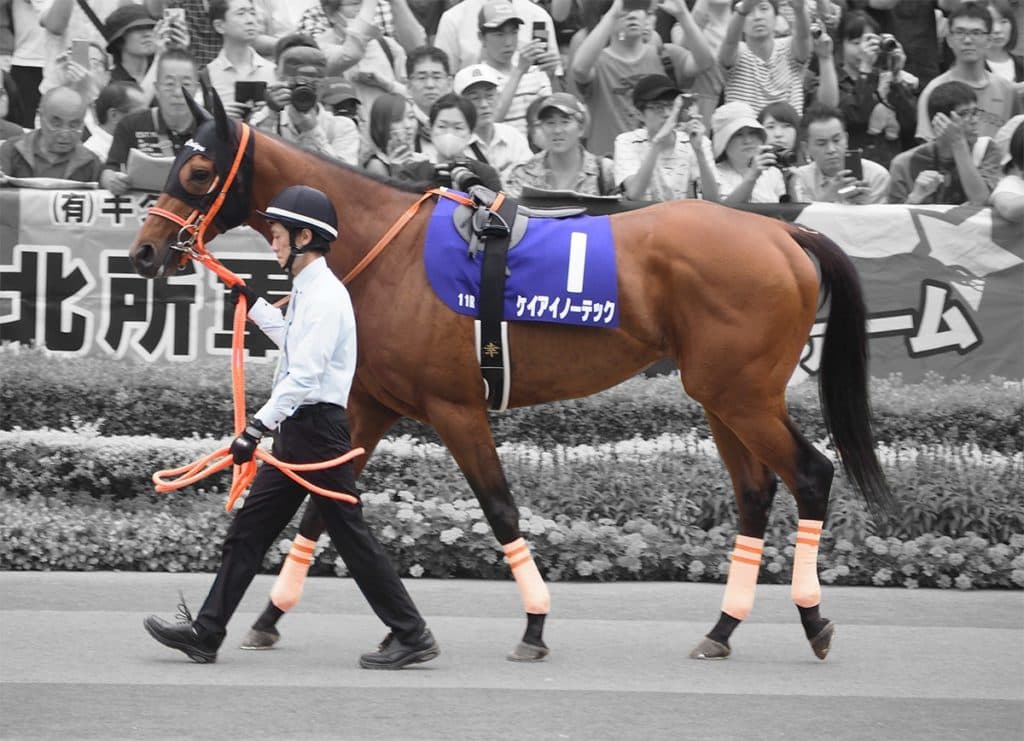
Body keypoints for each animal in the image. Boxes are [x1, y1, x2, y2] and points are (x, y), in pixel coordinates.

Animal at [128, 93, 892, 663]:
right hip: (719, 396)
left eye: (196, 173)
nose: (144, 252)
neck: (387, 248)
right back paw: (722, 628)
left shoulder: (455, 407)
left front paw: (533, 625)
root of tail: (784, 234)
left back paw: (813, 618)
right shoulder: (371, 403)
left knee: (812, 474)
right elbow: (320, 504)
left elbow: (498, 509)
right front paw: (265, 617)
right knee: (756, 493)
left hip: (742, 394)